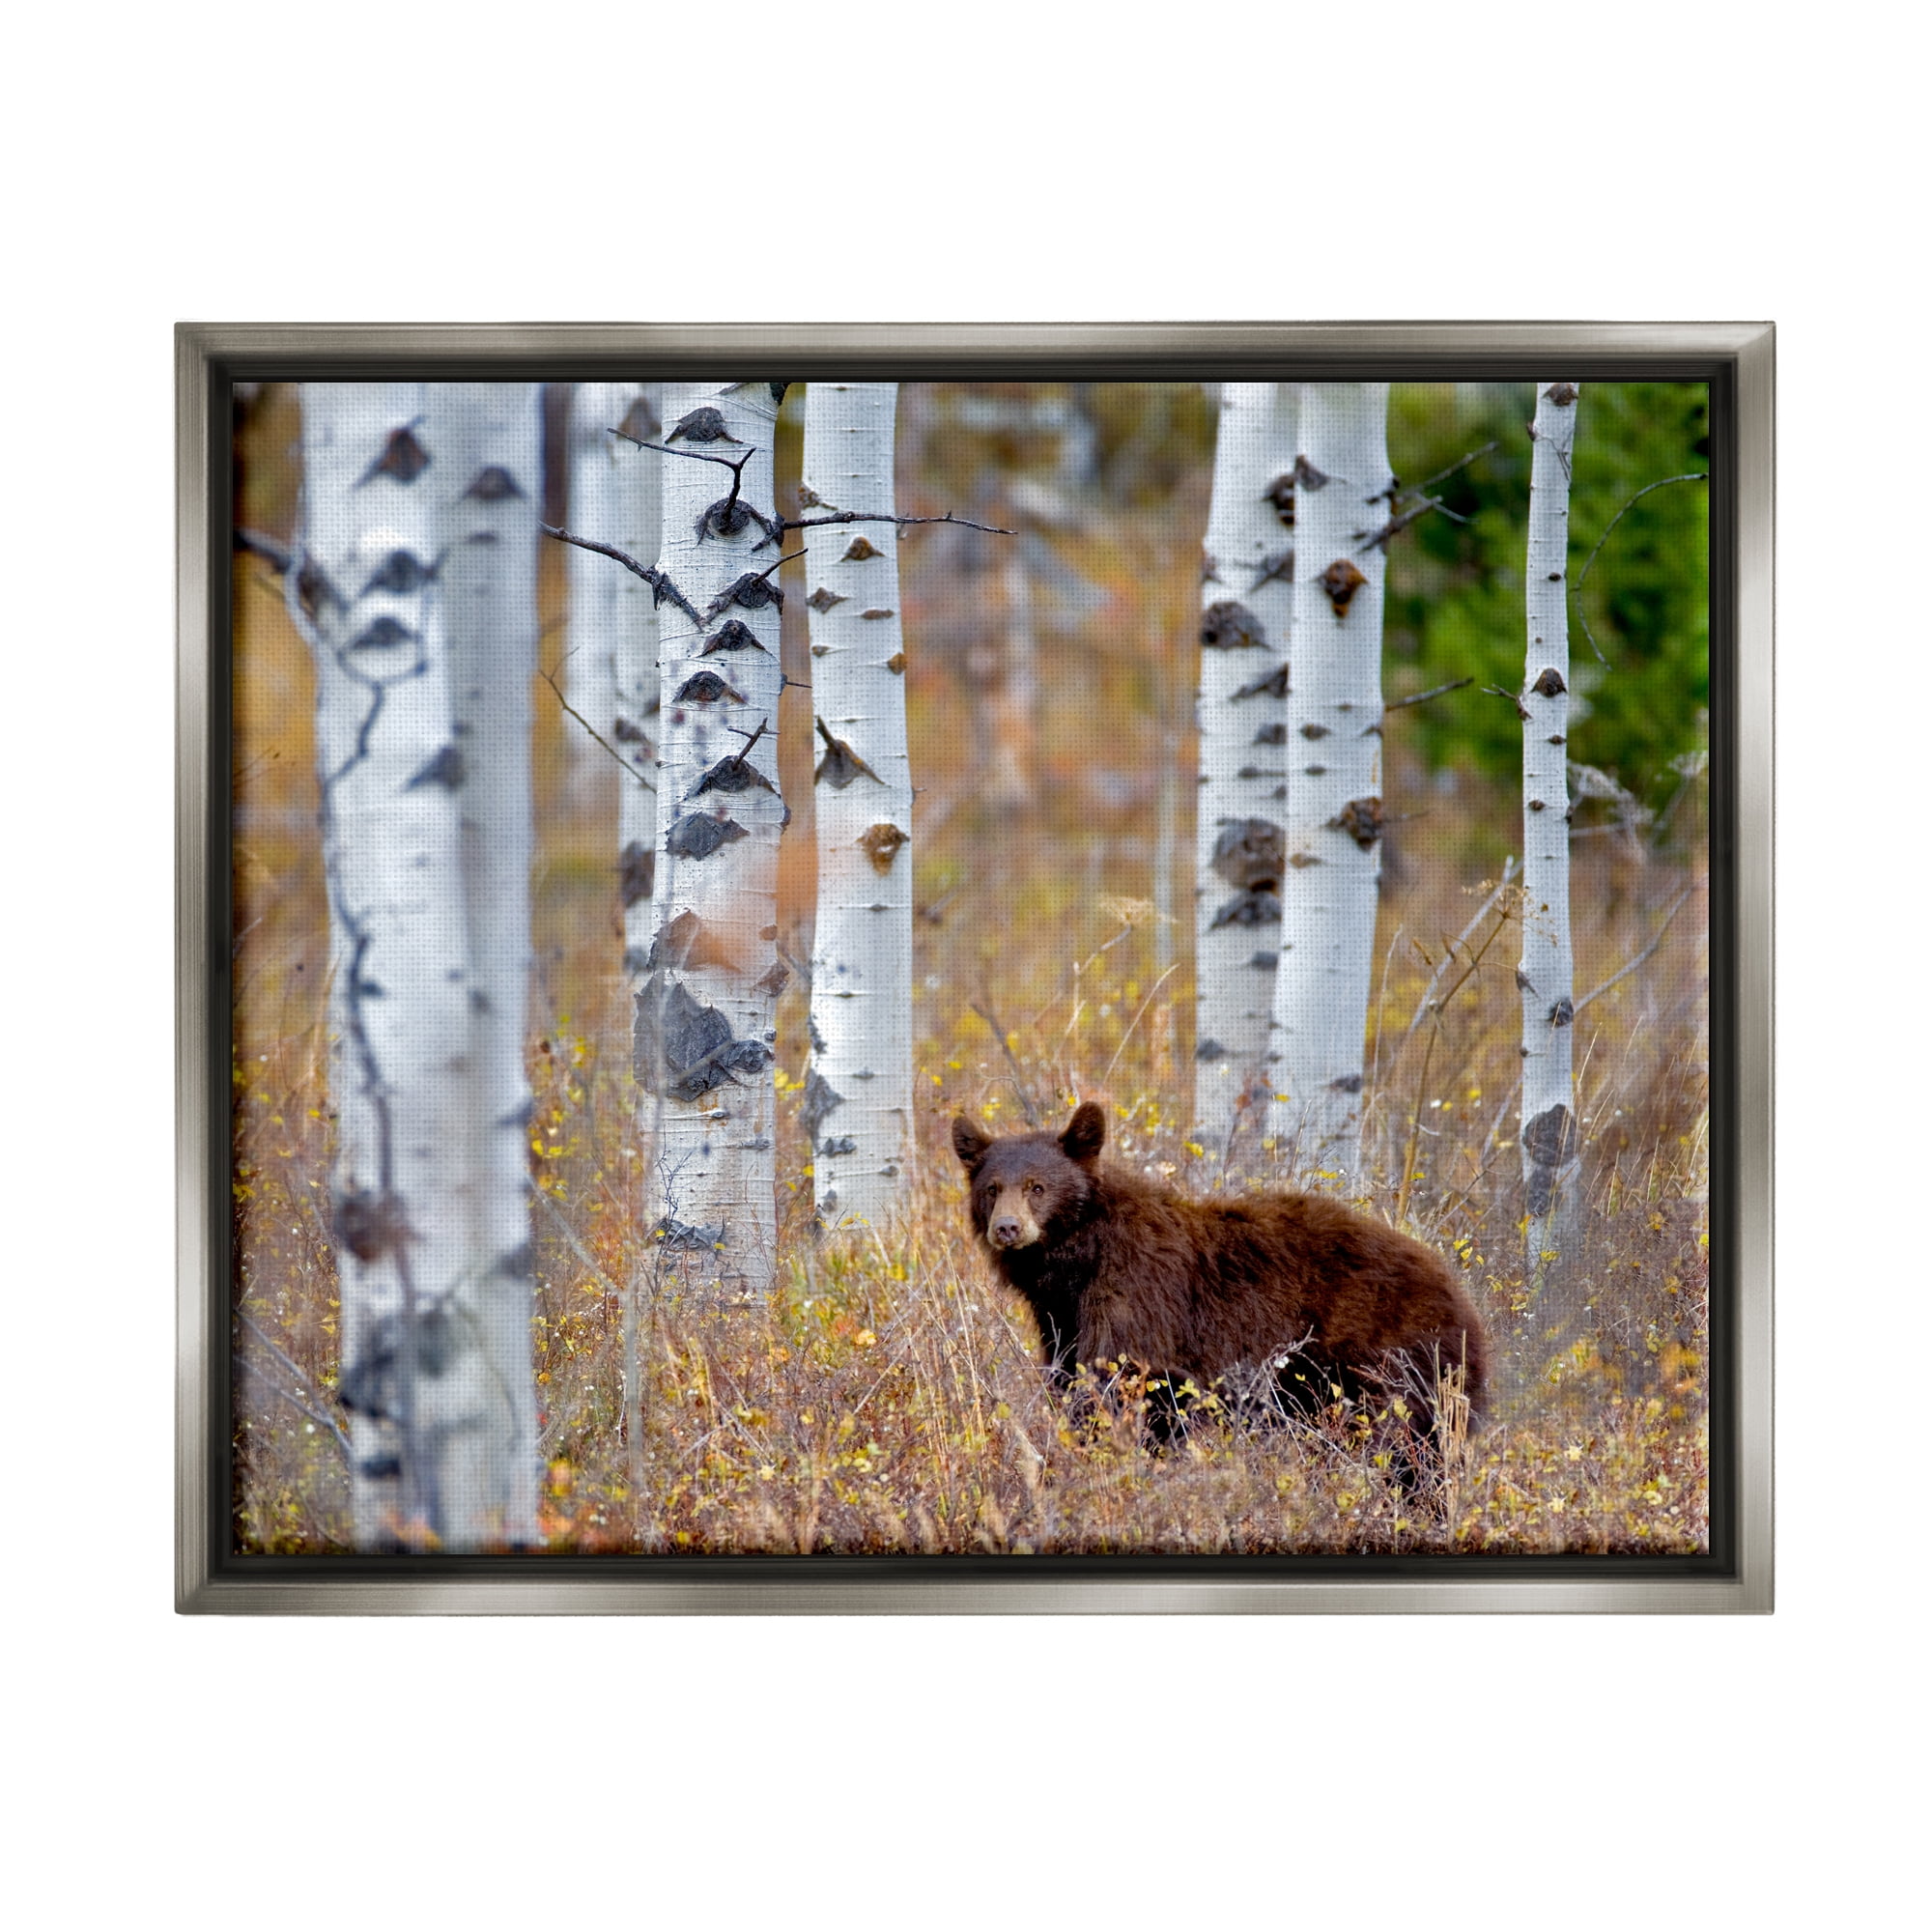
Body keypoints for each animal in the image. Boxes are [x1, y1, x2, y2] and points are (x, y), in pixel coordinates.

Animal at [952, 1101, 1487, 1478]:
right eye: (992, 1188)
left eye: (1037, 1187)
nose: (1007, 1228)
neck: (1079, 1260)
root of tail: (1457, 1294)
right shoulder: (1060, 1319)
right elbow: (1074, 1380)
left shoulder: (1138, 1298)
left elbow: (1118, 1382)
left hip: (1387, 1361)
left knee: (1398, 1442)